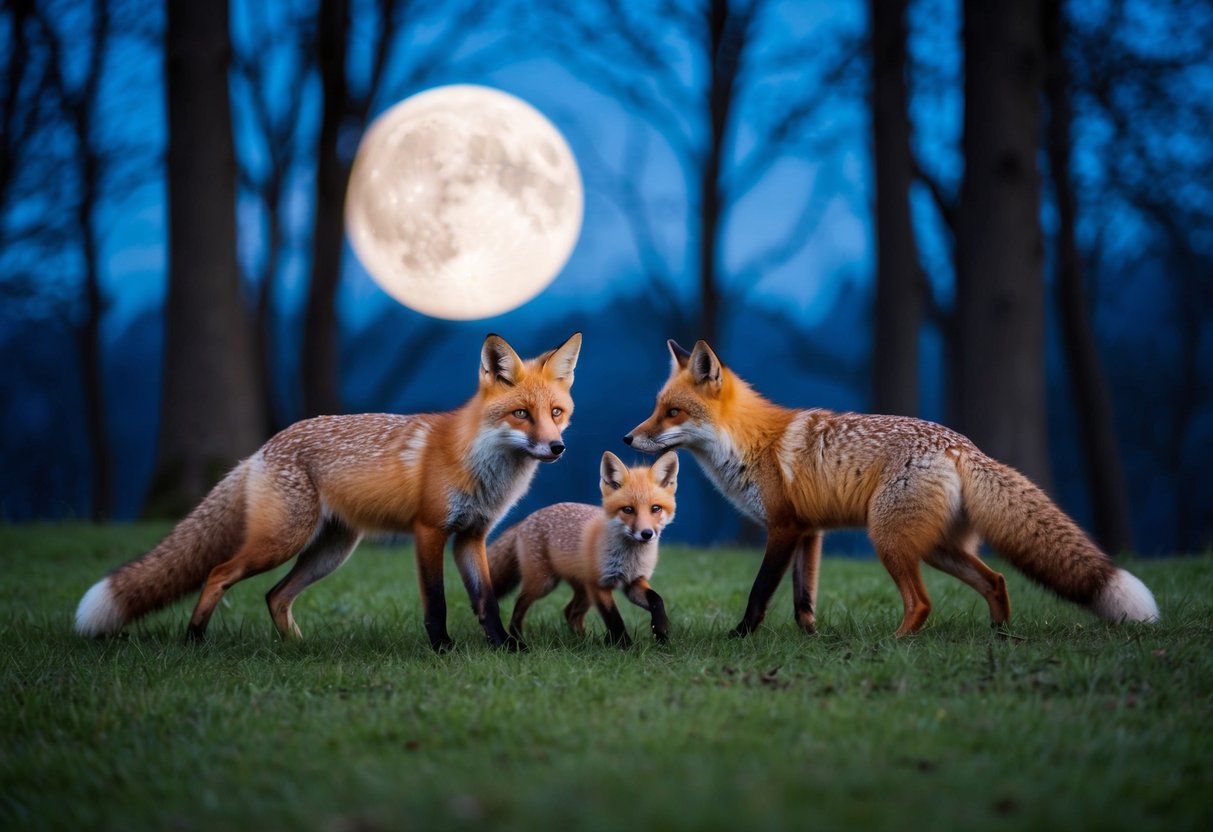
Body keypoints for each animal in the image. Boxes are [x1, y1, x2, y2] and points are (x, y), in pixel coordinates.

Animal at [74, 332, 582, 652]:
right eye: (521, 414)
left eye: (556, 413)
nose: (557, 447)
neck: (481, 465)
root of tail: (262, 449)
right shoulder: (429, 531)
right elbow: (436, 602)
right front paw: (442, 649)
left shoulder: (471, 536)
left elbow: (486, 601)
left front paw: (508, 647)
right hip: (281, 542)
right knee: (218, 574)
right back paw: (194, 639)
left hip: (329, 552)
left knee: (274, 596)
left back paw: (297, 649)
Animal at [487, 450, 679, 648]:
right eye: (628, 509)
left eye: (655, 508)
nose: (646, 534)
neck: (629, 559)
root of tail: (525, 519)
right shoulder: (599, 585)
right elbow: (614, 618)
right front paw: (626, 646)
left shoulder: (634, 582)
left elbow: (657, 599)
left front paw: (661, 632)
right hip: (544, 583)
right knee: (519, 603)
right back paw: (518, 638)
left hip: (582, 590)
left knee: (570, 612)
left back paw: (584, 641)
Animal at [624, 339, 1159, 638]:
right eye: (656, 408)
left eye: (672, 412)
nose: (628, 438)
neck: (752, 443)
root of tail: (962, 446)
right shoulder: (810, 532)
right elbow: (803, 600)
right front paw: (811, 639)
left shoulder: (783, 528)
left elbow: (760, 593)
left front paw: (740, 638)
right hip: (937, 548)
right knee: (997, 581)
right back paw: (1000, 636)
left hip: (890, 539)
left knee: (923, 603)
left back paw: (896, 643)